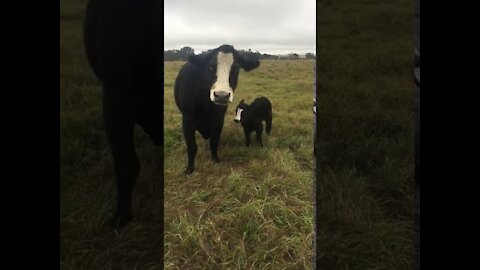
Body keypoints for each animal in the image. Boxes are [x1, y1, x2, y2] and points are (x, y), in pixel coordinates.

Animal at [174, 44, 260, 175]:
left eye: (236, 68)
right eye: (211, 66)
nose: (221, 95)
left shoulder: (219, 118)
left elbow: (214, 141)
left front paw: (215, 160)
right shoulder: (187, 118)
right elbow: (192, 146)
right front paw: (190, 169)